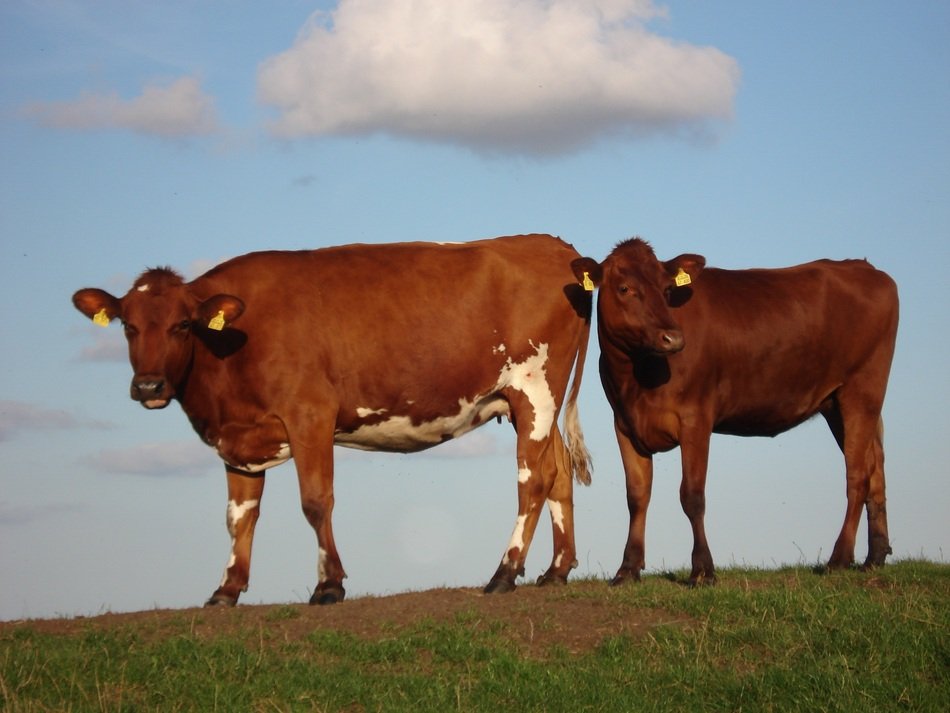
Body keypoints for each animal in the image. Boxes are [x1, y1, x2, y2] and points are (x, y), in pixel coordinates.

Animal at [73, 234, 593, 605]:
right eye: (127, 325)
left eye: (182, 325)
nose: (148, 387)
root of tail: (552, 244)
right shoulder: (239, 434)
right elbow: (239, 515)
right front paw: (226, 589)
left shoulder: (310, 415)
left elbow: (316, 502)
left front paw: (329, 585)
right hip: (534, 401)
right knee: (558, 473)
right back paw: (555, 571)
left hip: (535, 388)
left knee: (532, 480)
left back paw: (504, 573)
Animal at [571, 238, 898, 586]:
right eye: (624, 288)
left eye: (667, 289)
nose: (673, 338)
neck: (638, 378)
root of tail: (864, 267)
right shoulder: (625, 424)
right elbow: (636, 497)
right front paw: (628, 568)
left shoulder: (696, 418)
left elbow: (692, 496)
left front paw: (703, 570)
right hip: (840, 403)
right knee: (875, 466)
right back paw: (875, 556)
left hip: (861, 389)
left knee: (857, 475)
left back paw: (839, 558)